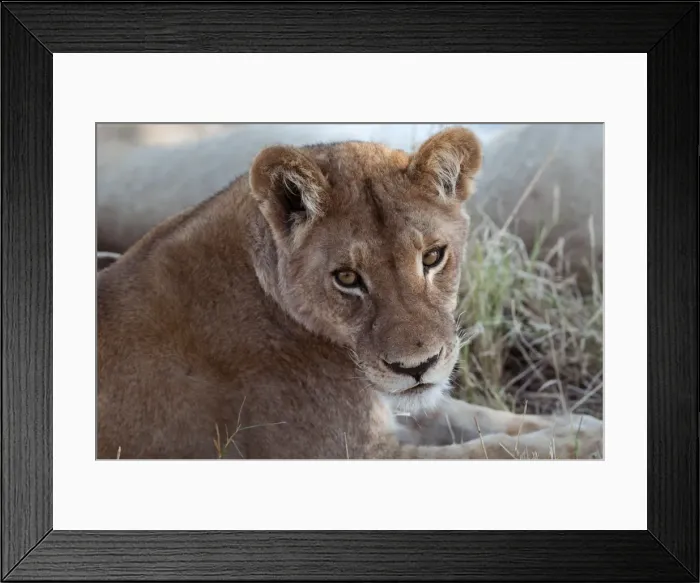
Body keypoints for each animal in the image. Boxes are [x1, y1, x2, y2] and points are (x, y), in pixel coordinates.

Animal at [97, 127, 603, 459]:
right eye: (346, 278)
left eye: (433, 256)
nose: (416, 367)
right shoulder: (354, 454)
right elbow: (489, 452)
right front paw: (581, 441)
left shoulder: (396, 406)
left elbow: (475, 416)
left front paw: (577, 422)